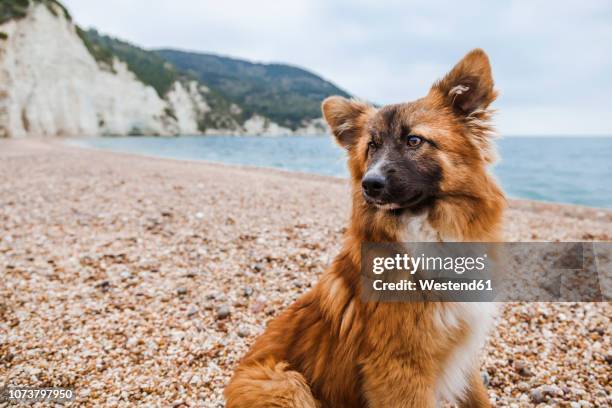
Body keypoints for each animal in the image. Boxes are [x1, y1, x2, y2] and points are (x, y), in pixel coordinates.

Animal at [225, 49, 506, 406]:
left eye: (414, 140)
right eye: (371, 146)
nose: (369, 185)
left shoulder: (462, 352)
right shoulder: (400, 368)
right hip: (284, 382)